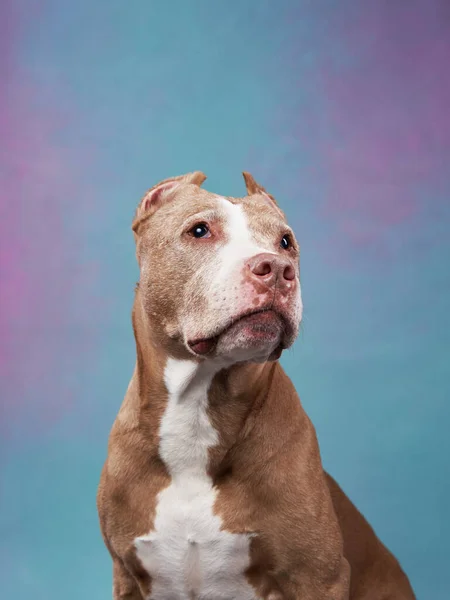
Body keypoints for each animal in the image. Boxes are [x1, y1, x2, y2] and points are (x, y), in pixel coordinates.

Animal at [96, 171, 416, 596]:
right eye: (199, 230)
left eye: (286, 242)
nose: (278, 269)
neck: (196, 415)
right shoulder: (127, 576)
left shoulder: (319, 575)